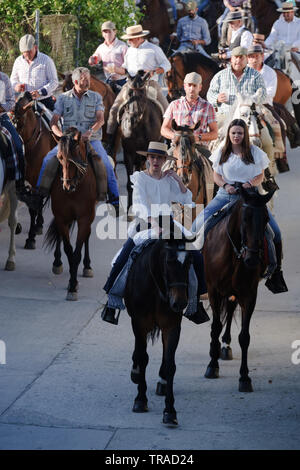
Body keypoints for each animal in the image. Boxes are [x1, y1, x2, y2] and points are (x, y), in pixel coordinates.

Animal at [43, 126, 102, 300]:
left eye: (76, 158)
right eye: (60, 158)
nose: (67, 186)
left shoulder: (85, 218)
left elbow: (77, 252)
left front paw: (73, 286)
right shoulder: (61, 217)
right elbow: (69, 250)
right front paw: (71, 283)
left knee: (87, 237)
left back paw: (87, 266)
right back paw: (57, 262)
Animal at [123, 235, 192, 426]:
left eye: (189, 261)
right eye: (169, 261)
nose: (180, 302)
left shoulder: (172, 326)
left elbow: (170, 364)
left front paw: (170, 411)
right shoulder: (138, 323)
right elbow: (142, 357)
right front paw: (140, 399)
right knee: (139, 351)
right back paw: (135, 373)